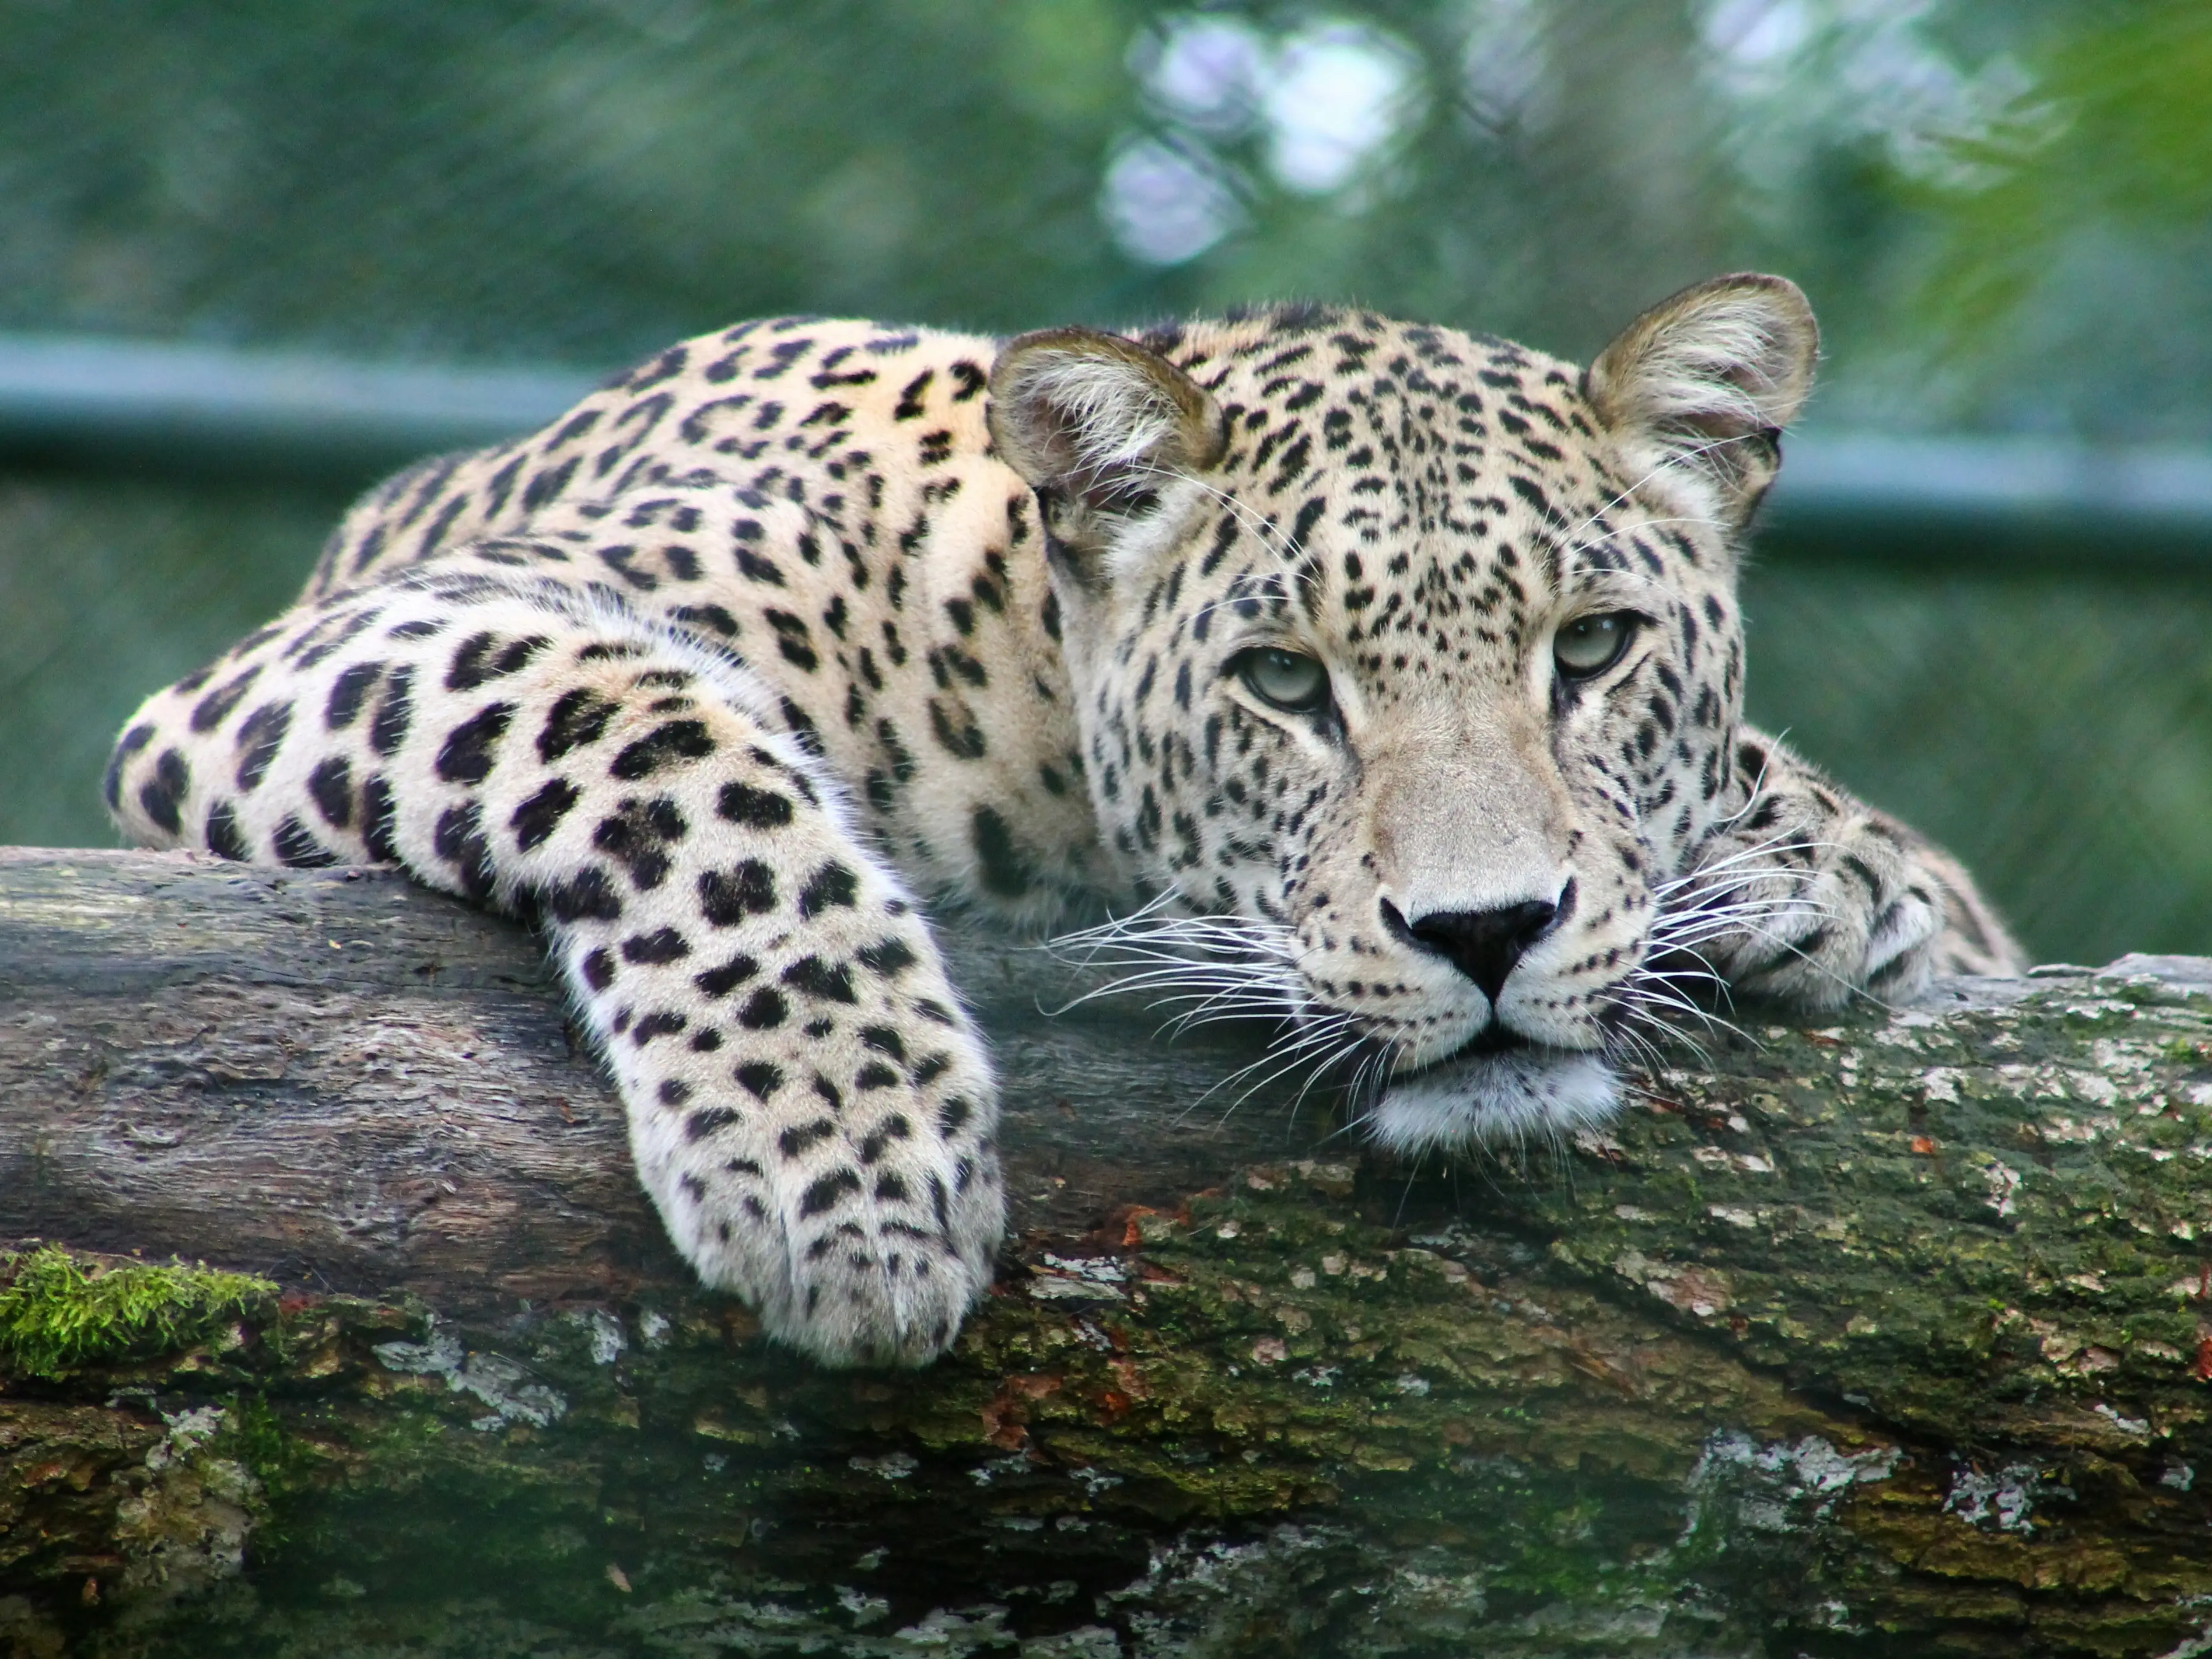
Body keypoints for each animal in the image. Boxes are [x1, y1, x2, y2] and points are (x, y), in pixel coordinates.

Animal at [104, 271, 2022, 1368]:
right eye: (1282, 683)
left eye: (1595, 649)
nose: (1484, 935)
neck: (1017, 674)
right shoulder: (343, 651)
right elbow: (665, 742)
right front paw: (845, 1162)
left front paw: (1818, 867)